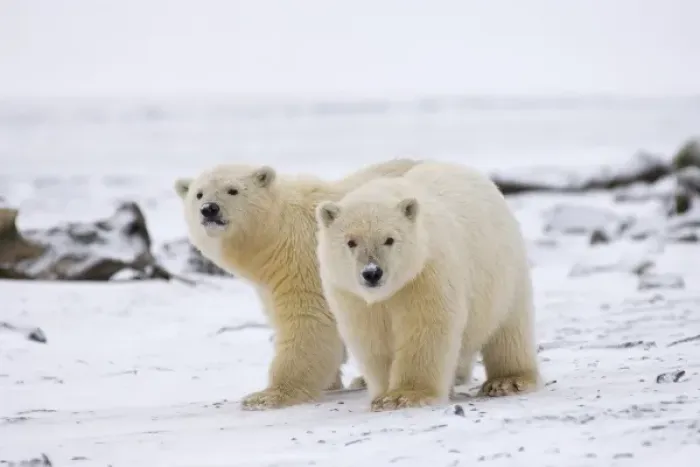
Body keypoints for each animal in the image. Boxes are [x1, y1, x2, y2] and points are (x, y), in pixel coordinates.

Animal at [174, 158, 421, 410]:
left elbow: (306, 318)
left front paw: (267, 395)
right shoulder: (271, 279)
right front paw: (330, 382)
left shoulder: (302, 259)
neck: (276, 233)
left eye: (232, 190)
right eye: (198, 194)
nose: (209, 209)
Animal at [315, 160, 541, 412]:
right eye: (351, 242)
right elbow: (371, 337)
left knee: (509, 327)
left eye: (389, 239)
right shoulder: (350, 295)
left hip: (504, 272)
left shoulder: (426, 274)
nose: (372, 273)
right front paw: (381, 396)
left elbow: (427, 327)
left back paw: (507, 381)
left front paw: (404, 395)